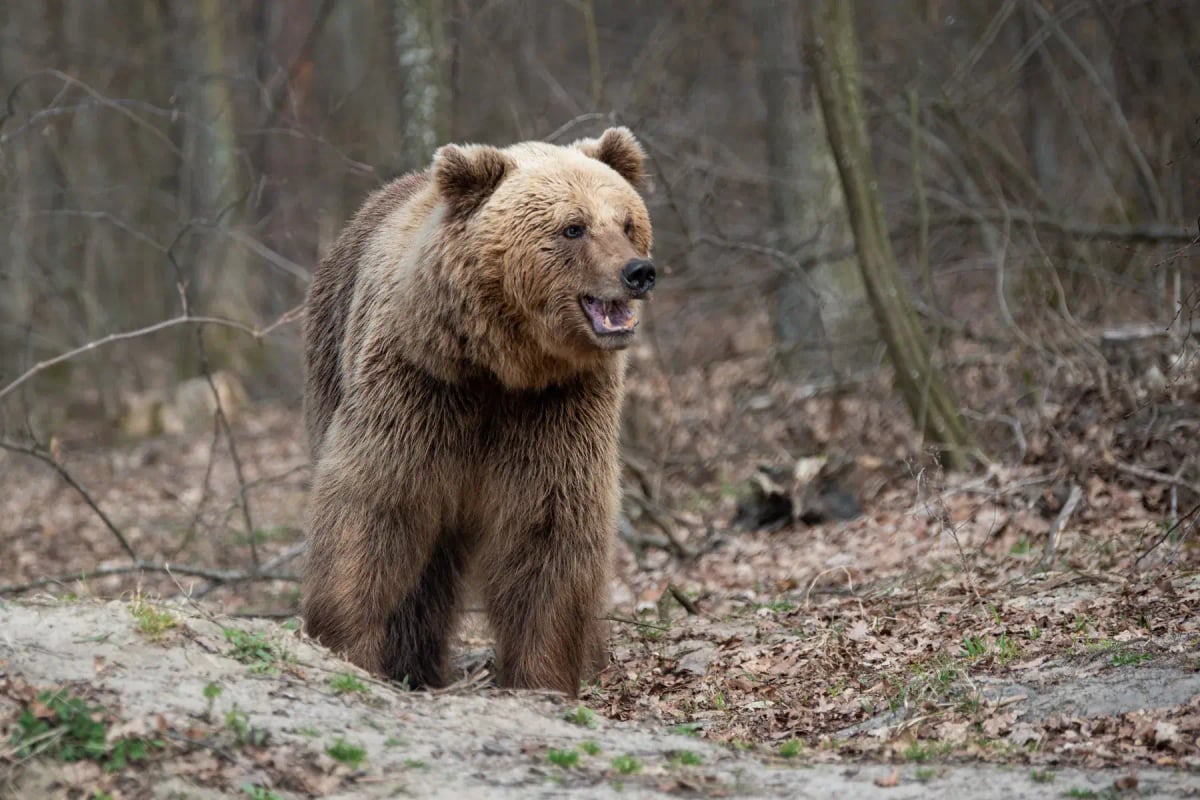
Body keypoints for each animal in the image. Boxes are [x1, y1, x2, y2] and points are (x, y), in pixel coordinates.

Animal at [302, 127, 655, 696]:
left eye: (627, 222)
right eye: (573, 227)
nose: (638, 272)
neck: (502, 365)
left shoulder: (557, 406)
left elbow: (548, 529)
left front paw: (541, 675)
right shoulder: (420, 385)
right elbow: (375, 504)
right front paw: (347, 642)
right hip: (329, 360)